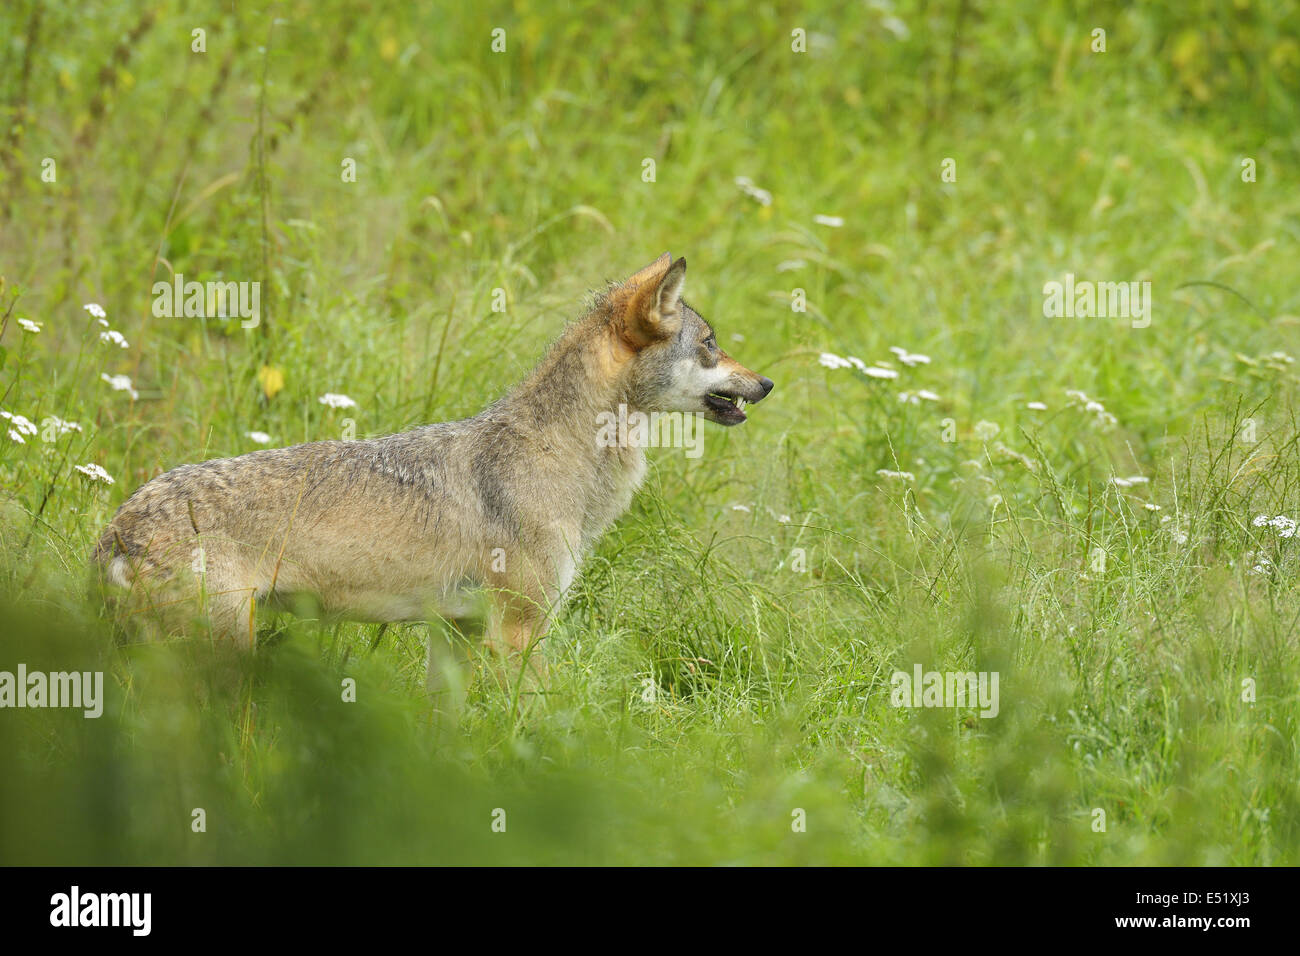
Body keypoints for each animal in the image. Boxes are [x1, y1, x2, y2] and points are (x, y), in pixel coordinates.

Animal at [96, 254, 774, 686]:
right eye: (710, 344)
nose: (767, 383)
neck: (560, 457)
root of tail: (117, 529)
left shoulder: (455, 635)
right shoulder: (519, 634)